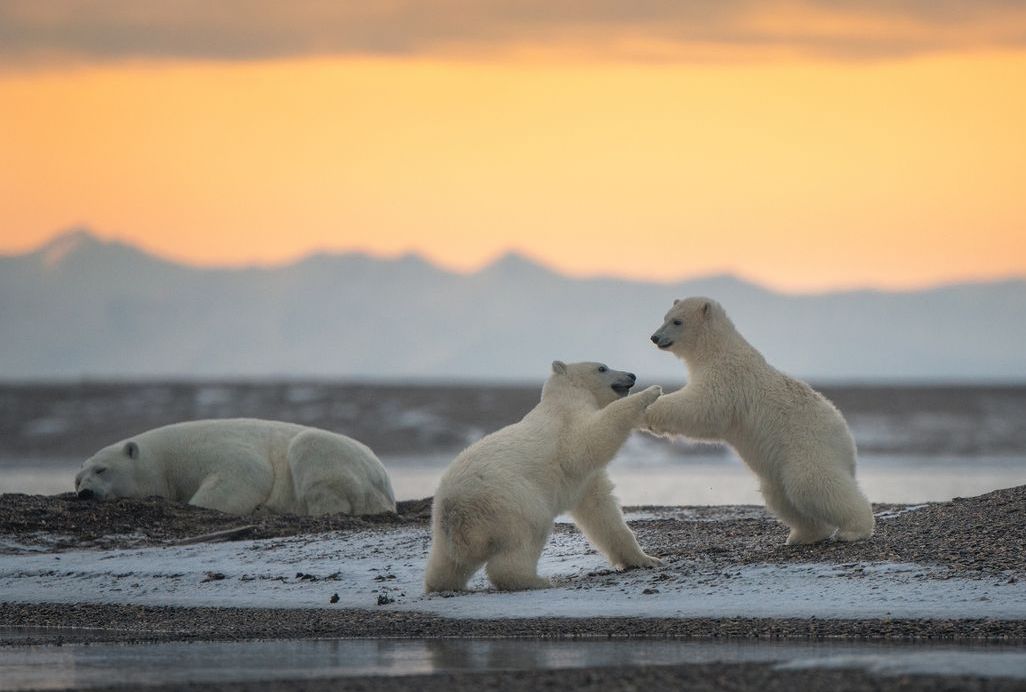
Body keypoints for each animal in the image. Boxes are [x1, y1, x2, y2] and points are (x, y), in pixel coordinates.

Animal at [74, 416, 396, 515]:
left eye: (101, 469)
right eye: (78, 479)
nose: (84, 493)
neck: (168, 460)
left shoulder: (212, 450)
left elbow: (245, 474)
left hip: (339, 460)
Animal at [424, 359, 664, 591]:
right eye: (602, 368)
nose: (631, 375)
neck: (564, 397)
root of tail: (456, 510)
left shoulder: (585, 481)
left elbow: (602, 510)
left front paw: (647, 559)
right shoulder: (567, 425)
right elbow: (588, 438)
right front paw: (652, 391)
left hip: (443, 525)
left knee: (447, 563)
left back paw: (442, 584)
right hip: (510, 501)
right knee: (526, 537)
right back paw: (535, 580)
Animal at [648, 297, 874, 546]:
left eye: (677, 321)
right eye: (665, 317)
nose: (655, 337)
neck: (716, 349)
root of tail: (847, 440)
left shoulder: (727, 378)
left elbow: (701, 406)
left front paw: (649, 409)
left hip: (809, 446)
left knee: (811, 483)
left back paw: (854, 529)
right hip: (781, 465)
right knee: (780, 494)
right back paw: (803, 534)